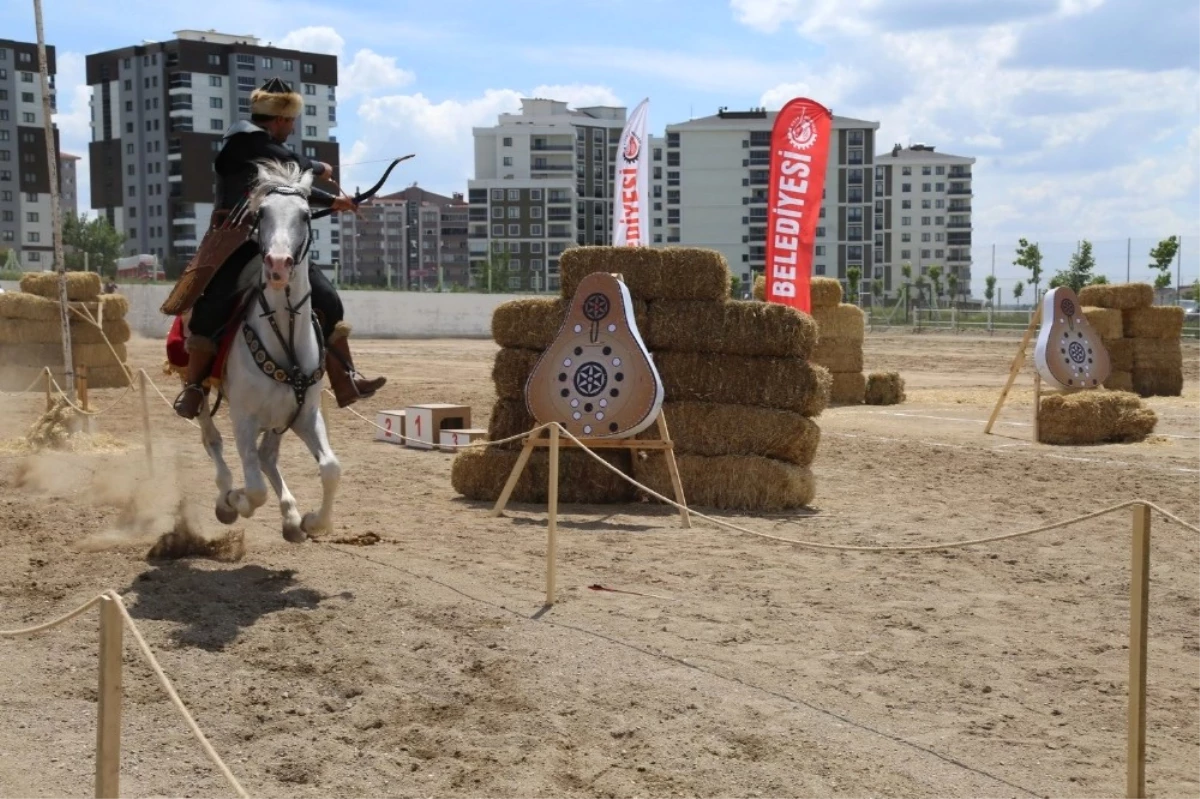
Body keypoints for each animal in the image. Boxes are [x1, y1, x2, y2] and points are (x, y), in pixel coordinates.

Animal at [195, 160, 338, 542]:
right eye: (261, 213)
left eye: (305, 215)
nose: (277, 264)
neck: (284, 334)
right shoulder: (243, 417)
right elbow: (255, 489)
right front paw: (233, 501)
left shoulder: (306, 414)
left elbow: (331, 468)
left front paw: (312, 521)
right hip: (202, 394)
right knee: (213, 441)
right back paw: (226, 494)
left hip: (280, 420)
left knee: (267, 456)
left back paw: (290, 516)